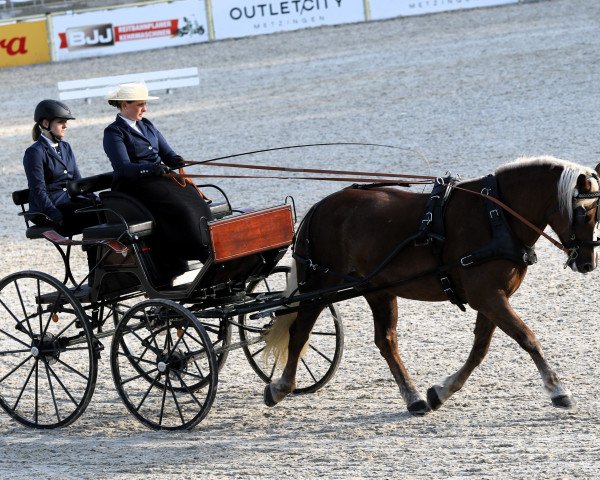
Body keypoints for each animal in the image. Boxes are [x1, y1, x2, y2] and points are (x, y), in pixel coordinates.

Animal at [262, 156, 600, 414]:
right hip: (320, 283)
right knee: (300, 330)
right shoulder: (488, 296)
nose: (587, 263)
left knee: (386, 341)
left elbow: (480, 349)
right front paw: (558, 390)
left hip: (378, 289)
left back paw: (413, 399)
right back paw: (281, 387)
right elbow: (526, 337)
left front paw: (442, 391)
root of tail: (319, 206)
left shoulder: (493, 297)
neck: (497, 216)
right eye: (583, 212)